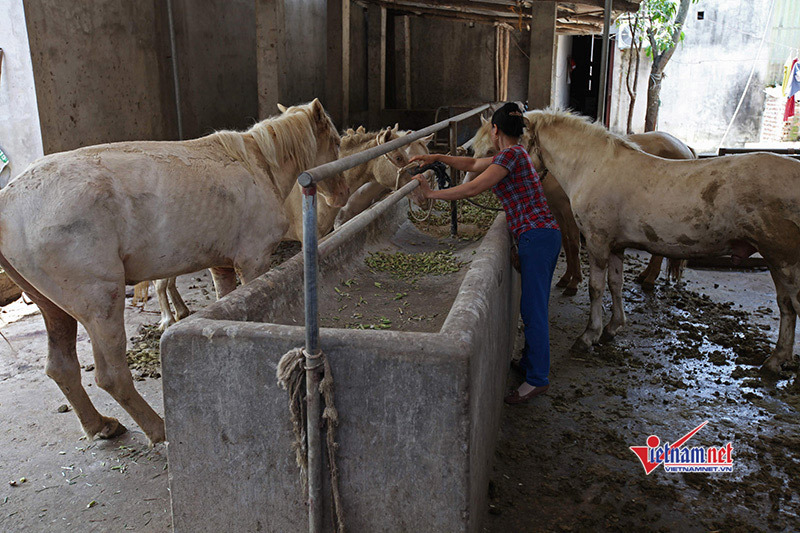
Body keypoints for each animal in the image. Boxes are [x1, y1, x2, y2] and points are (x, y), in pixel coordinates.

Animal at [0, 97, 346, 442]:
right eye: (336, 141)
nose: (340, 196)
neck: (258, 166)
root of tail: (8, 201)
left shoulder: (221, 265)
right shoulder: (254, 261)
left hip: (53, 308)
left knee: (61, 368)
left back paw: (100, 425)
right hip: (101, 304)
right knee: (111, 376)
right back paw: (159, 429)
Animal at [468, 117, 692, 296]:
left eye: (491, 150)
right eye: (473, 148)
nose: (468, 181)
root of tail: (685, 147)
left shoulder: (569, 213)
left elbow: (574, 244)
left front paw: (574, 283)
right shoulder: (557, 211)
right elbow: (566, 244)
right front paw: (567, 277)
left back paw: (649, 280)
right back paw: (645, 275)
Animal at [524, 109, 800, 372]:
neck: (592, 166)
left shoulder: (597, 243)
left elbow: (595, 288)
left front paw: (589, 335)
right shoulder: (616, 246)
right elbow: (615, 284)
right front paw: (613, 327)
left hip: (786, 263)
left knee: (793, 305)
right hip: (776, 261)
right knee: (786, 307)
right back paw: (776, 360)